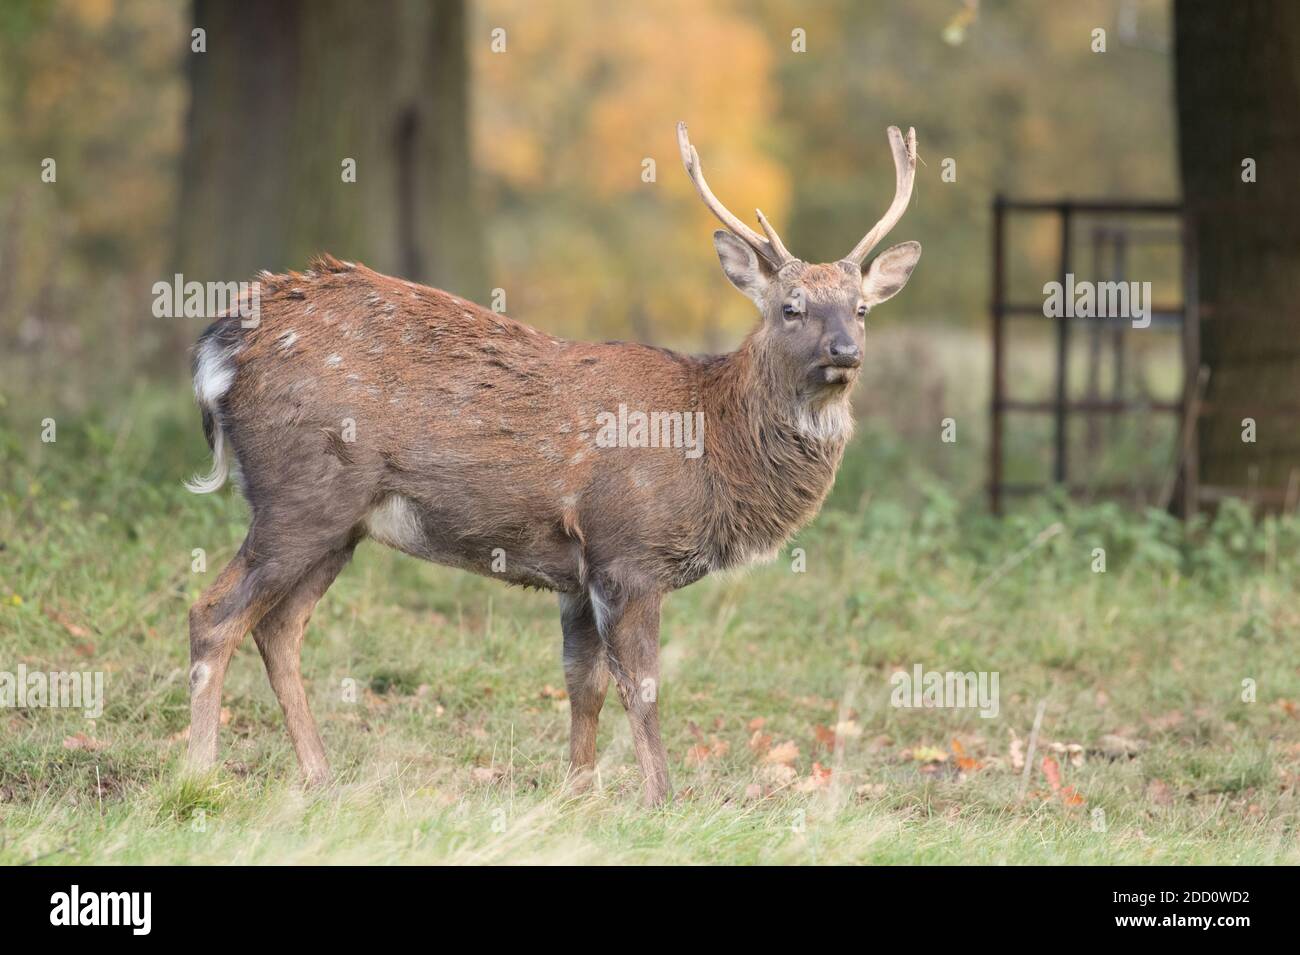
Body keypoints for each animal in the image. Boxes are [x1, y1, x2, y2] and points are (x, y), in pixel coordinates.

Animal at [184, 122, 920, 806]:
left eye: (861, 308)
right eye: (792, 307)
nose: (846, 351)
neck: (710, 442)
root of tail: (224, 342)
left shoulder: (577, 572)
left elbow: (581, 683)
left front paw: (579, 791)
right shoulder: (628, 551)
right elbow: (641, 686)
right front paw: (661, 798)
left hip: (342, 524)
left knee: (277, 627)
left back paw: (322, 778)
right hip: (300, 494)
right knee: (213, 614)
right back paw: (200, 775)